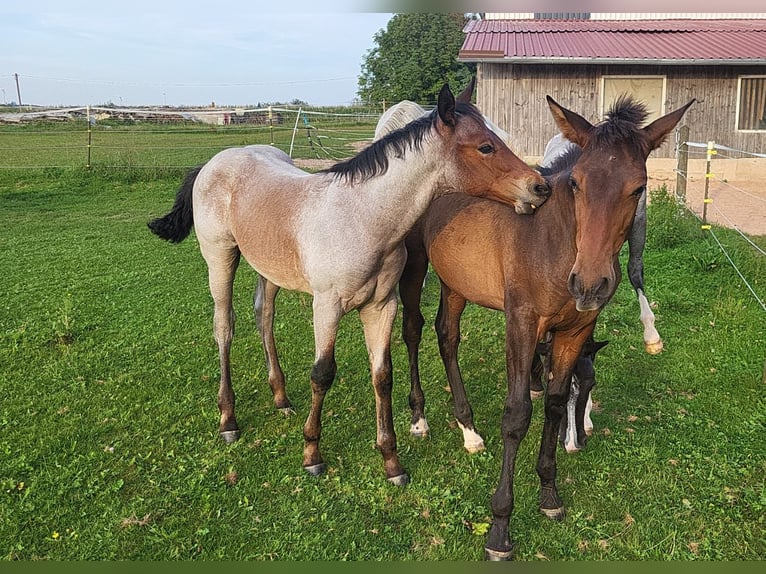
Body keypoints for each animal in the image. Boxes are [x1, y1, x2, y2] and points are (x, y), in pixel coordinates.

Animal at [147, 80, 551, 487]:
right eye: (486, 146)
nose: (539, 187)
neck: (363, 218)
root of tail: (214, 162)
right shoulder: (326, 305)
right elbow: (322, 373)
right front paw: (312, 454)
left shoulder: (382, 306)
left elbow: (383, 376)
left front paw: (392, 462)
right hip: (220, 257)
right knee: (224, 327)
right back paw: (228, 419)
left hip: (269, 268)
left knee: (264, 317)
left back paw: (281, 398)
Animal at [397, 95, 694, 558]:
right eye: (576, 184)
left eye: (638, 188)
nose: (589, 283)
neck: (551, 244)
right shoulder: (521, 324)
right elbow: (518, 415)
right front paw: (500, 528)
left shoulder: (575, 332)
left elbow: (555, 403)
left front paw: (550, 494)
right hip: (416, 268)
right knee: (413, 330)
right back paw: (420, 419)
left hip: (455, 282)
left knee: (447, 336)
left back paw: (468, 429)